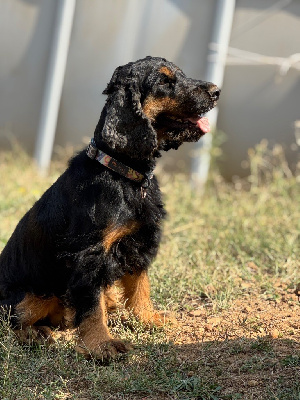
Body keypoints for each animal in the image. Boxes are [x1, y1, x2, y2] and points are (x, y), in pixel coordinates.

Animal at [0, 55, 220, 360]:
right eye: (164, 81)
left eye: (182, 74)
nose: (216, 91)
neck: (122, 173)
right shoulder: (89, 253)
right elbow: (91, 305)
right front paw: (101, 345)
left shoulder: (137, 243)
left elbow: (140, 286)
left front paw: (149, 319)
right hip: (33, 294)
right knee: (14, 319)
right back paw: (36, 335)